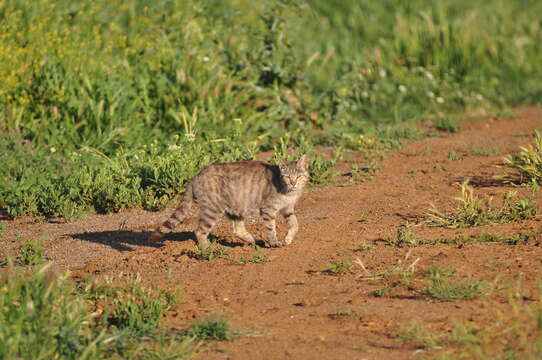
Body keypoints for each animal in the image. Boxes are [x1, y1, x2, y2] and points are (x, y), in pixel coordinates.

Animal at [149, 155, 310, 250]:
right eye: (287, 177)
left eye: (299, 176)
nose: (293, 183)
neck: (288, 192)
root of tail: (195, 177)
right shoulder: (268, 209)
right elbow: (271, 228)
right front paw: (275, 242)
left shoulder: (288, 209)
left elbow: (295, 224)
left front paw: (288, 239)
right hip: (213, 209)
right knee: (199, 231)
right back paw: (208, 249)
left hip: (236, 208)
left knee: (238, 230)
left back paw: (255, 240)